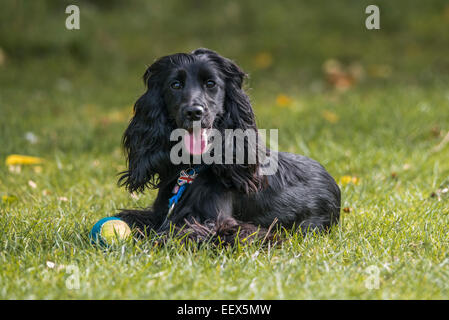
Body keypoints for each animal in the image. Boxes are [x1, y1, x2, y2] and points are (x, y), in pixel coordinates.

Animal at [115, 47, 340, 242]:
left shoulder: (220, 225)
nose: (194, 112)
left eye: (211, 83)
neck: (192, 168)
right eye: (175, 85)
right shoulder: (159, 214)